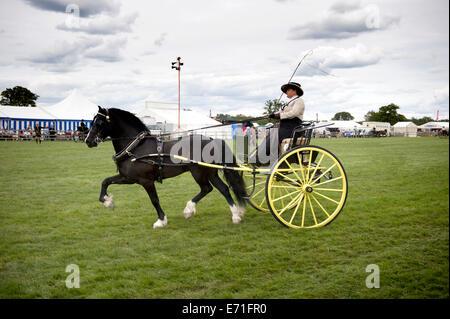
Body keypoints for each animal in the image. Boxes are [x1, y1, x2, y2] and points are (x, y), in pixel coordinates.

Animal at [84, 107, 246, 230]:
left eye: (99, 122)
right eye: (92, 121)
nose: (88, 140)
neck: (136, 147)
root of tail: (212, 139)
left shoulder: (146, 181)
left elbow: (154, 200)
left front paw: (161, 220)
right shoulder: (127, 178)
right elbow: (105, 181)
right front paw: (107, 201)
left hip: (198, 172)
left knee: (207, 188)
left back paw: (189, 210)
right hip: (210, 172)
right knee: (223, 189)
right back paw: (235, 215)